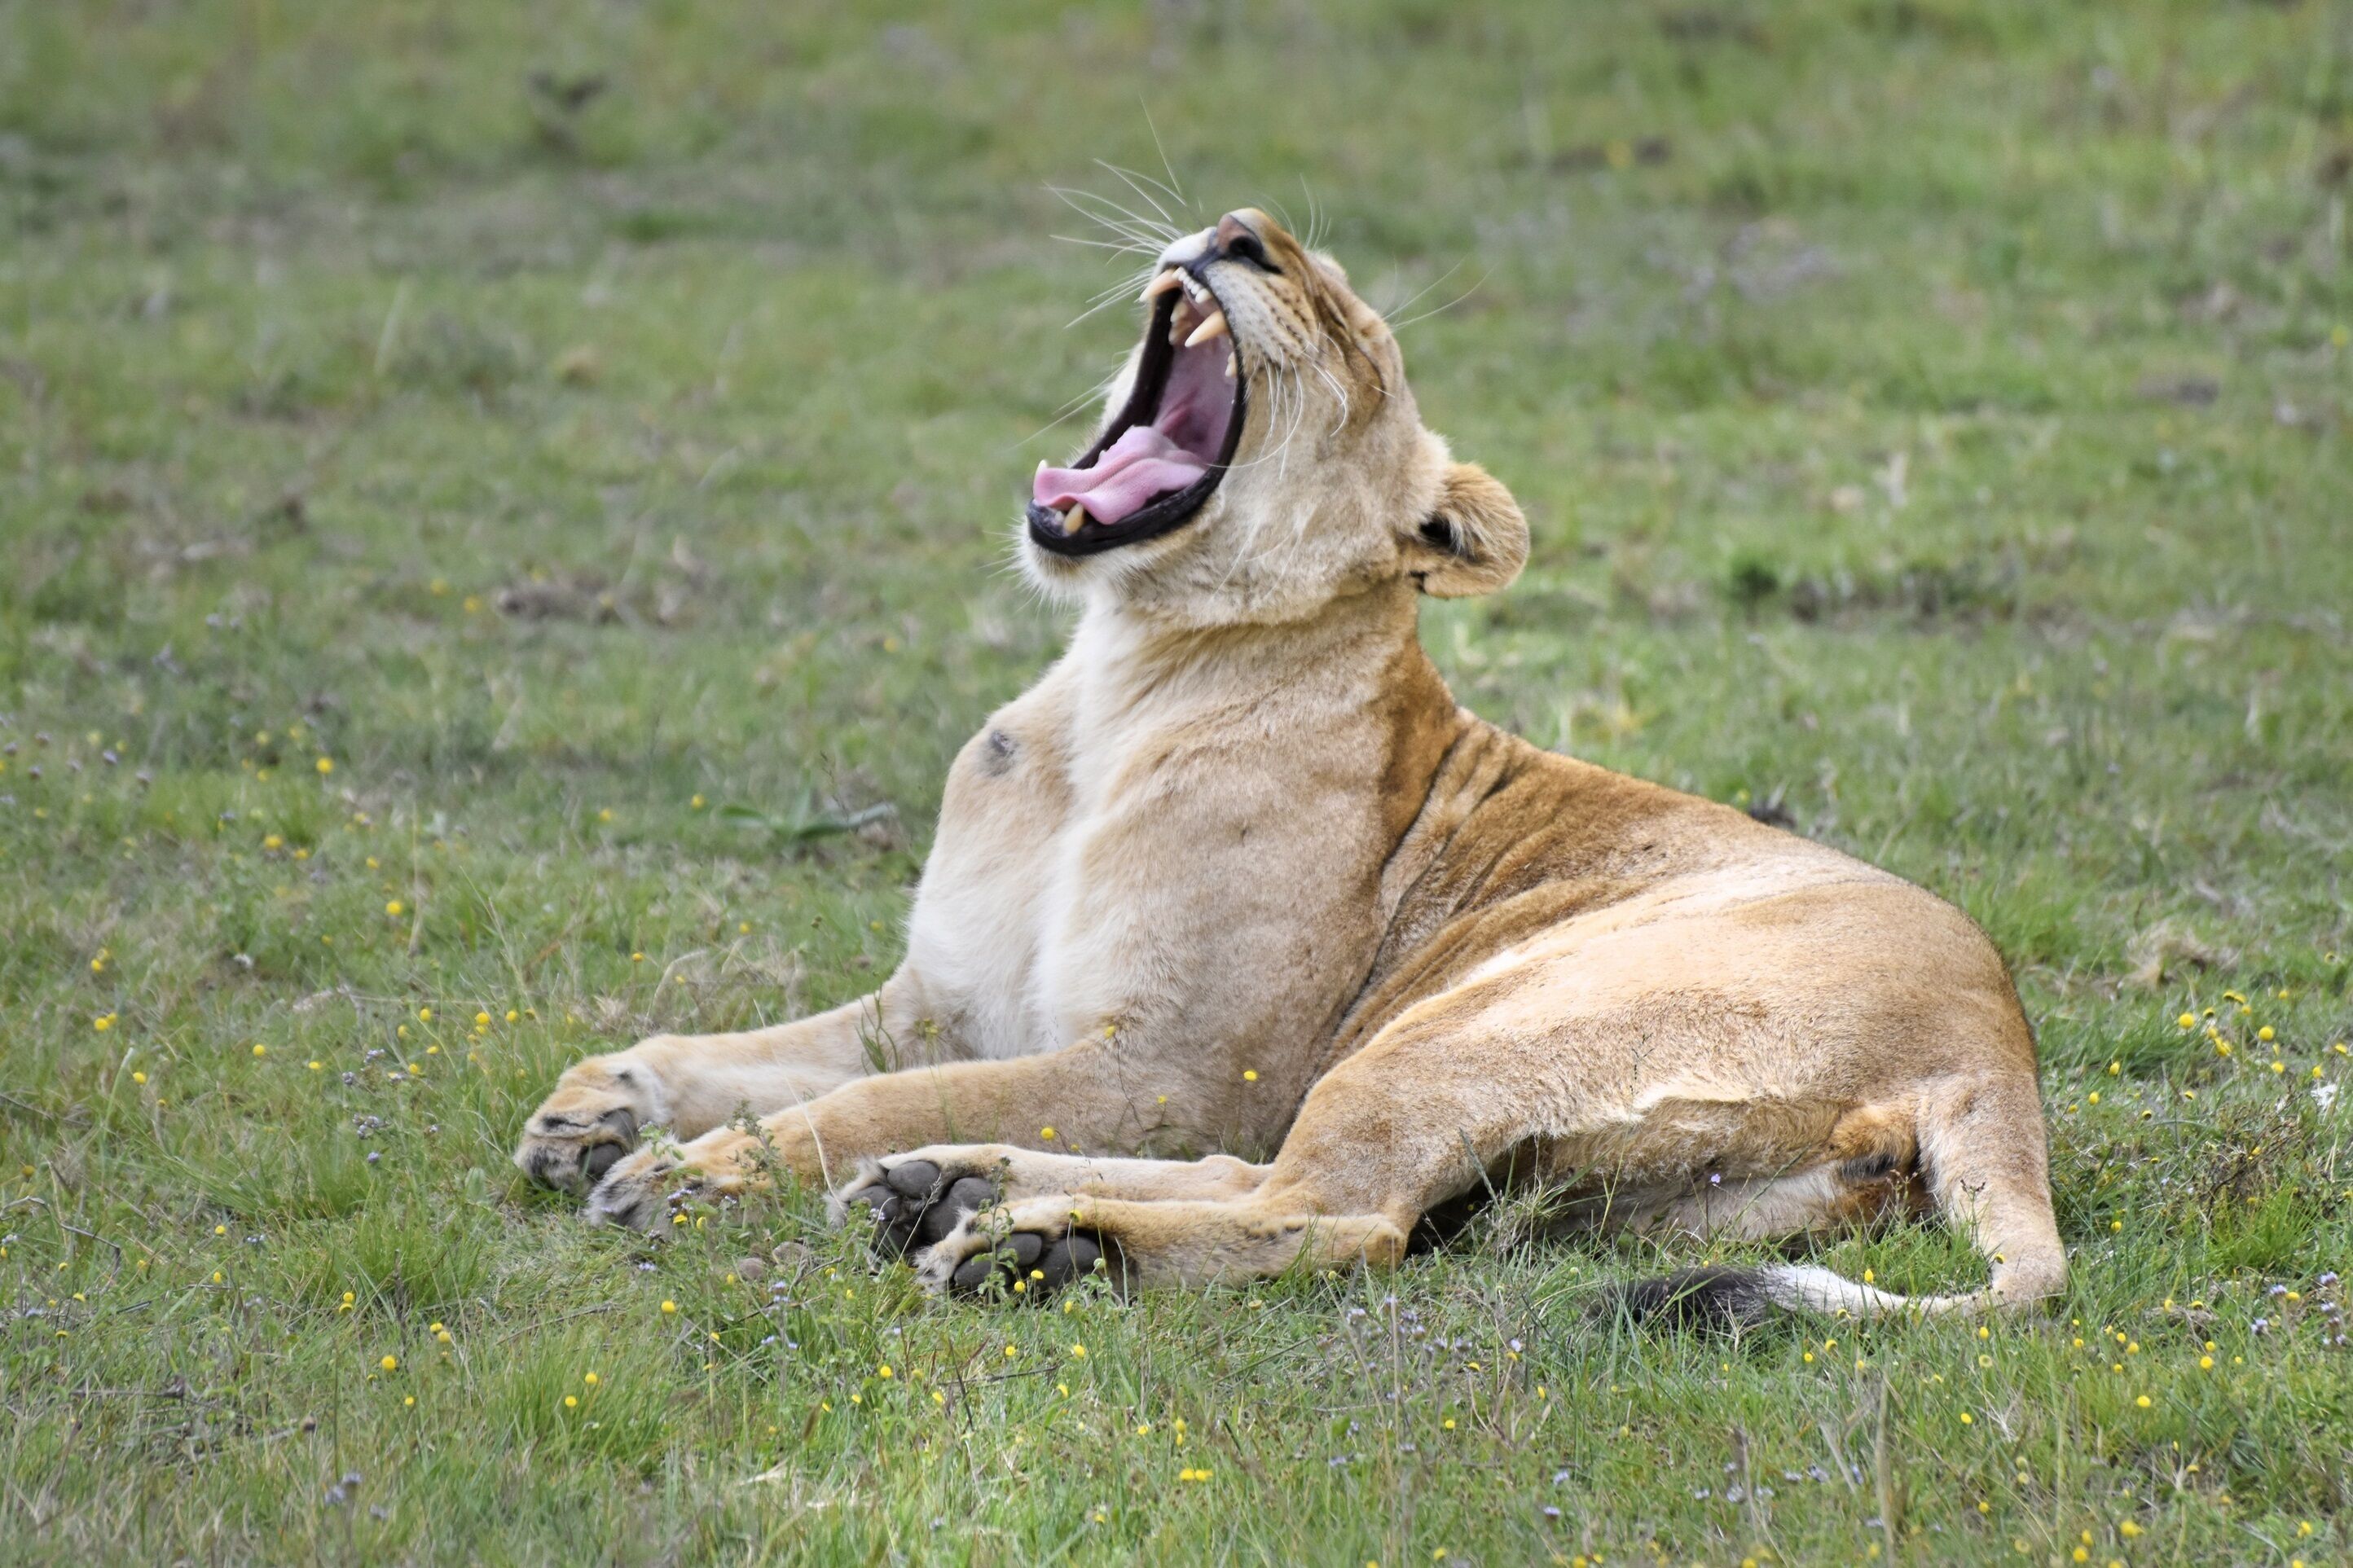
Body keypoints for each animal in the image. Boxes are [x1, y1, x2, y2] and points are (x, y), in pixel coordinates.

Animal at [515, 209, 2065, 1322]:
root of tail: (1993, 1051)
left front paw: (694, 1176)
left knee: (1329, 1217)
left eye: (1352, 336)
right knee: (1281, 1188)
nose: (1238, 231)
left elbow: (851, 1098)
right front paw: (593, 1110)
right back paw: (941, 1194)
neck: (1118, 674)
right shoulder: (945, 1002)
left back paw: (1027, 1248)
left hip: (1462, 1030)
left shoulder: (1172, 1063)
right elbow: (753, 1054)